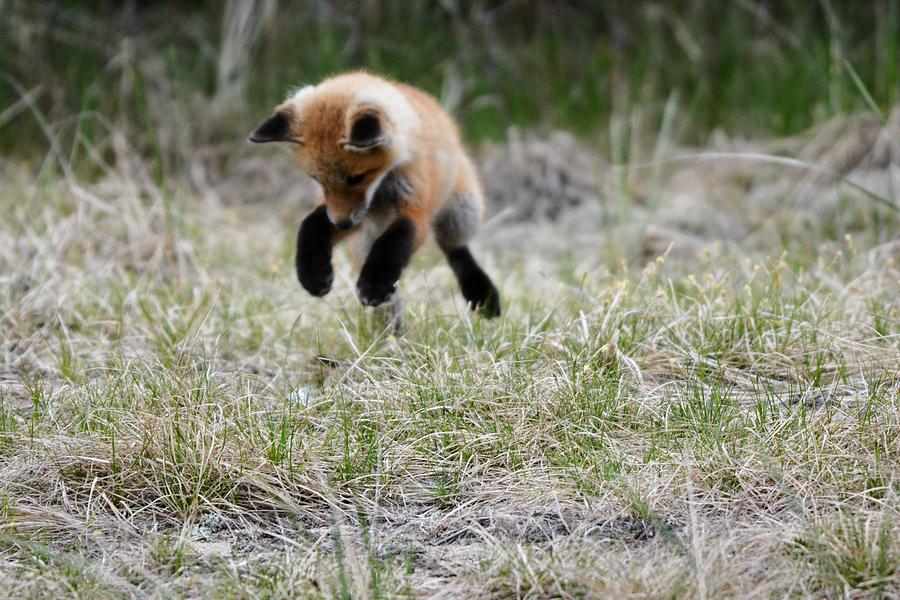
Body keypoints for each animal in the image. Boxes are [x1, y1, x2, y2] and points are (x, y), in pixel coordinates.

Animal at [249, 71, 501, 325]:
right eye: (317, 180)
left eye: (356, 177)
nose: (342, 224)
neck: (380, 190)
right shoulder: (353, 213)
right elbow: (311, 225)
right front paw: (313, 273)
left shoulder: (414, 209)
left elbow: (391, 246)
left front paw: (375, 283)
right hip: (364, 239)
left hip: (463, 210)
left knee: (454, 249)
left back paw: (481, 292)